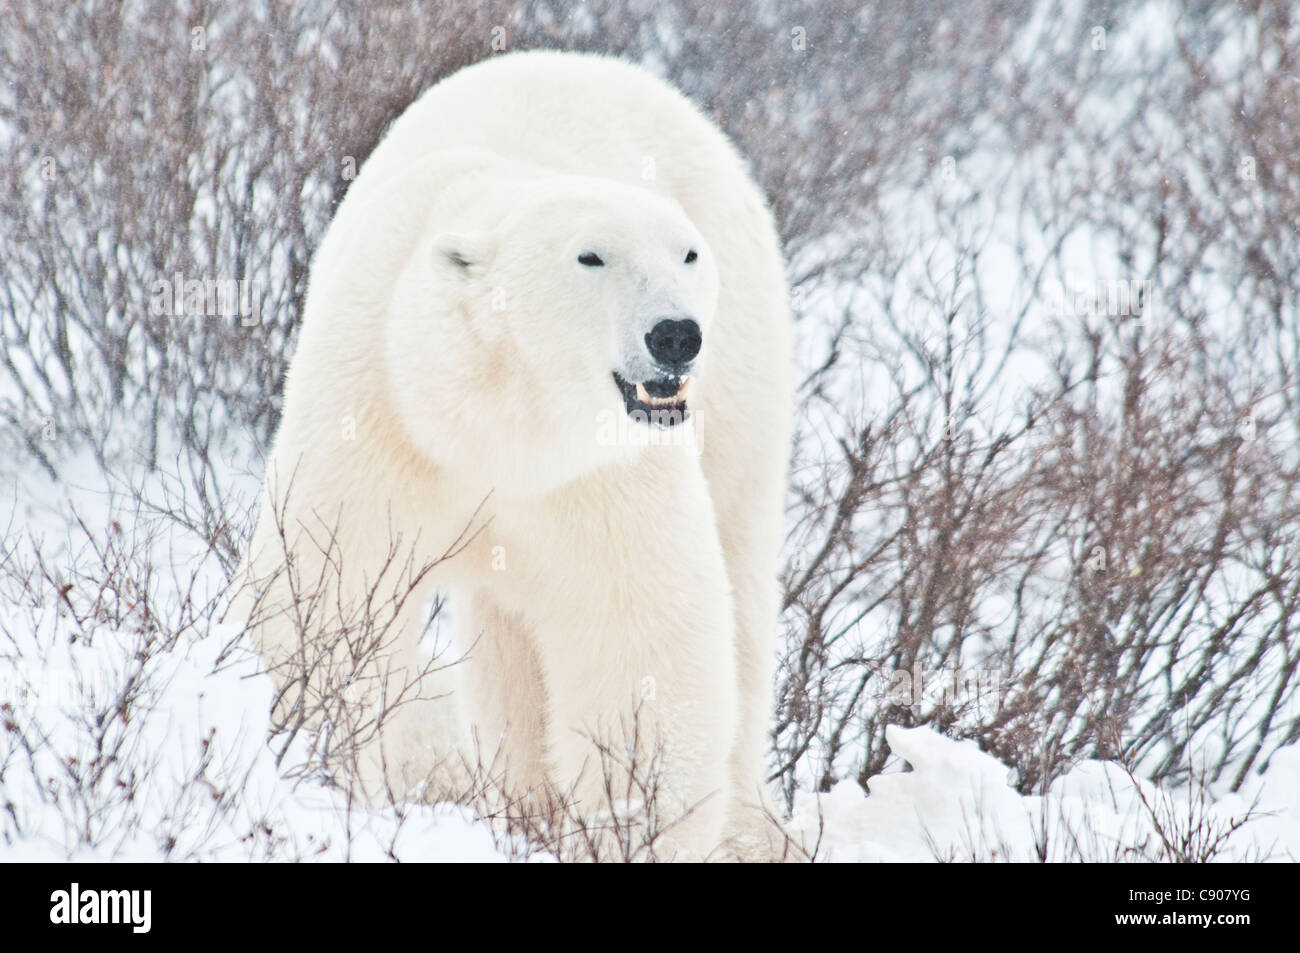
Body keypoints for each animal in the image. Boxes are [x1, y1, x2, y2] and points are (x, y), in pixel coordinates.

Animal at [233, 48, 790, 858]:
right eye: (591, 256)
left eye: (686, 254)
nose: (676, 334)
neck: (494, 423)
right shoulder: (377, 409)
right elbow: (329, 593)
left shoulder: (597, 471)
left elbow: (638, 632)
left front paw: (628, 827)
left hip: (743, 366)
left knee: (740, 574)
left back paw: (747, 825)